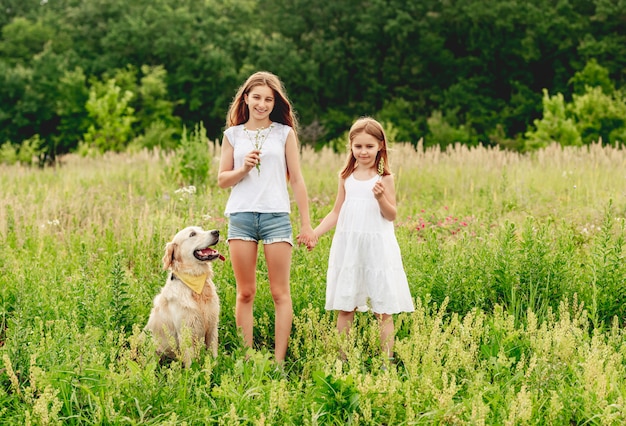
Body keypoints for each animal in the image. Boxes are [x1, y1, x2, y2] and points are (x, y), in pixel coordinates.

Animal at [145, 226, 223, 366]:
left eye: (202, 229)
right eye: (192, 234)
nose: (216, 232)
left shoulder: (212, 327)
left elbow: (213, 353)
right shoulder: (185, 331)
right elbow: (190, 362)